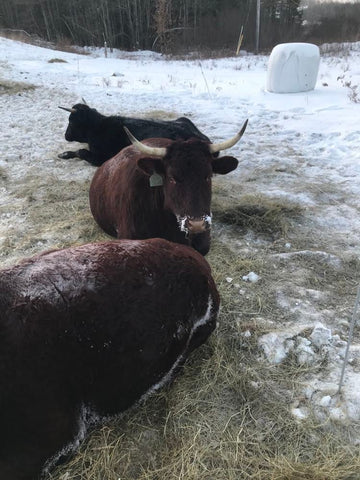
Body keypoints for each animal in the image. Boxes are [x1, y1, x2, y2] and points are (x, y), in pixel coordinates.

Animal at [57, 103, 210, 167]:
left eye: (72, 120)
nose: (66, 135)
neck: (98, 127)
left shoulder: (102, 158)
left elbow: (81, 152)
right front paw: (63, 154)